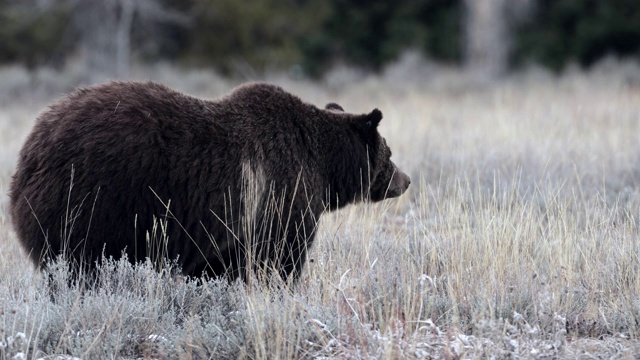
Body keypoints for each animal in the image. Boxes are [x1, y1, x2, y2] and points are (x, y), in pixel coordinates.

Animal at [10, 82, 410, 284]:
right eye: (389, 152)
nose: (405, 180)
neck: (325, 167)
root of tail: (31, 150)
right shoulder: (280, 194)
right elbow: (281, 255)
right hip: (94, 200)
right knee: (80, 265)